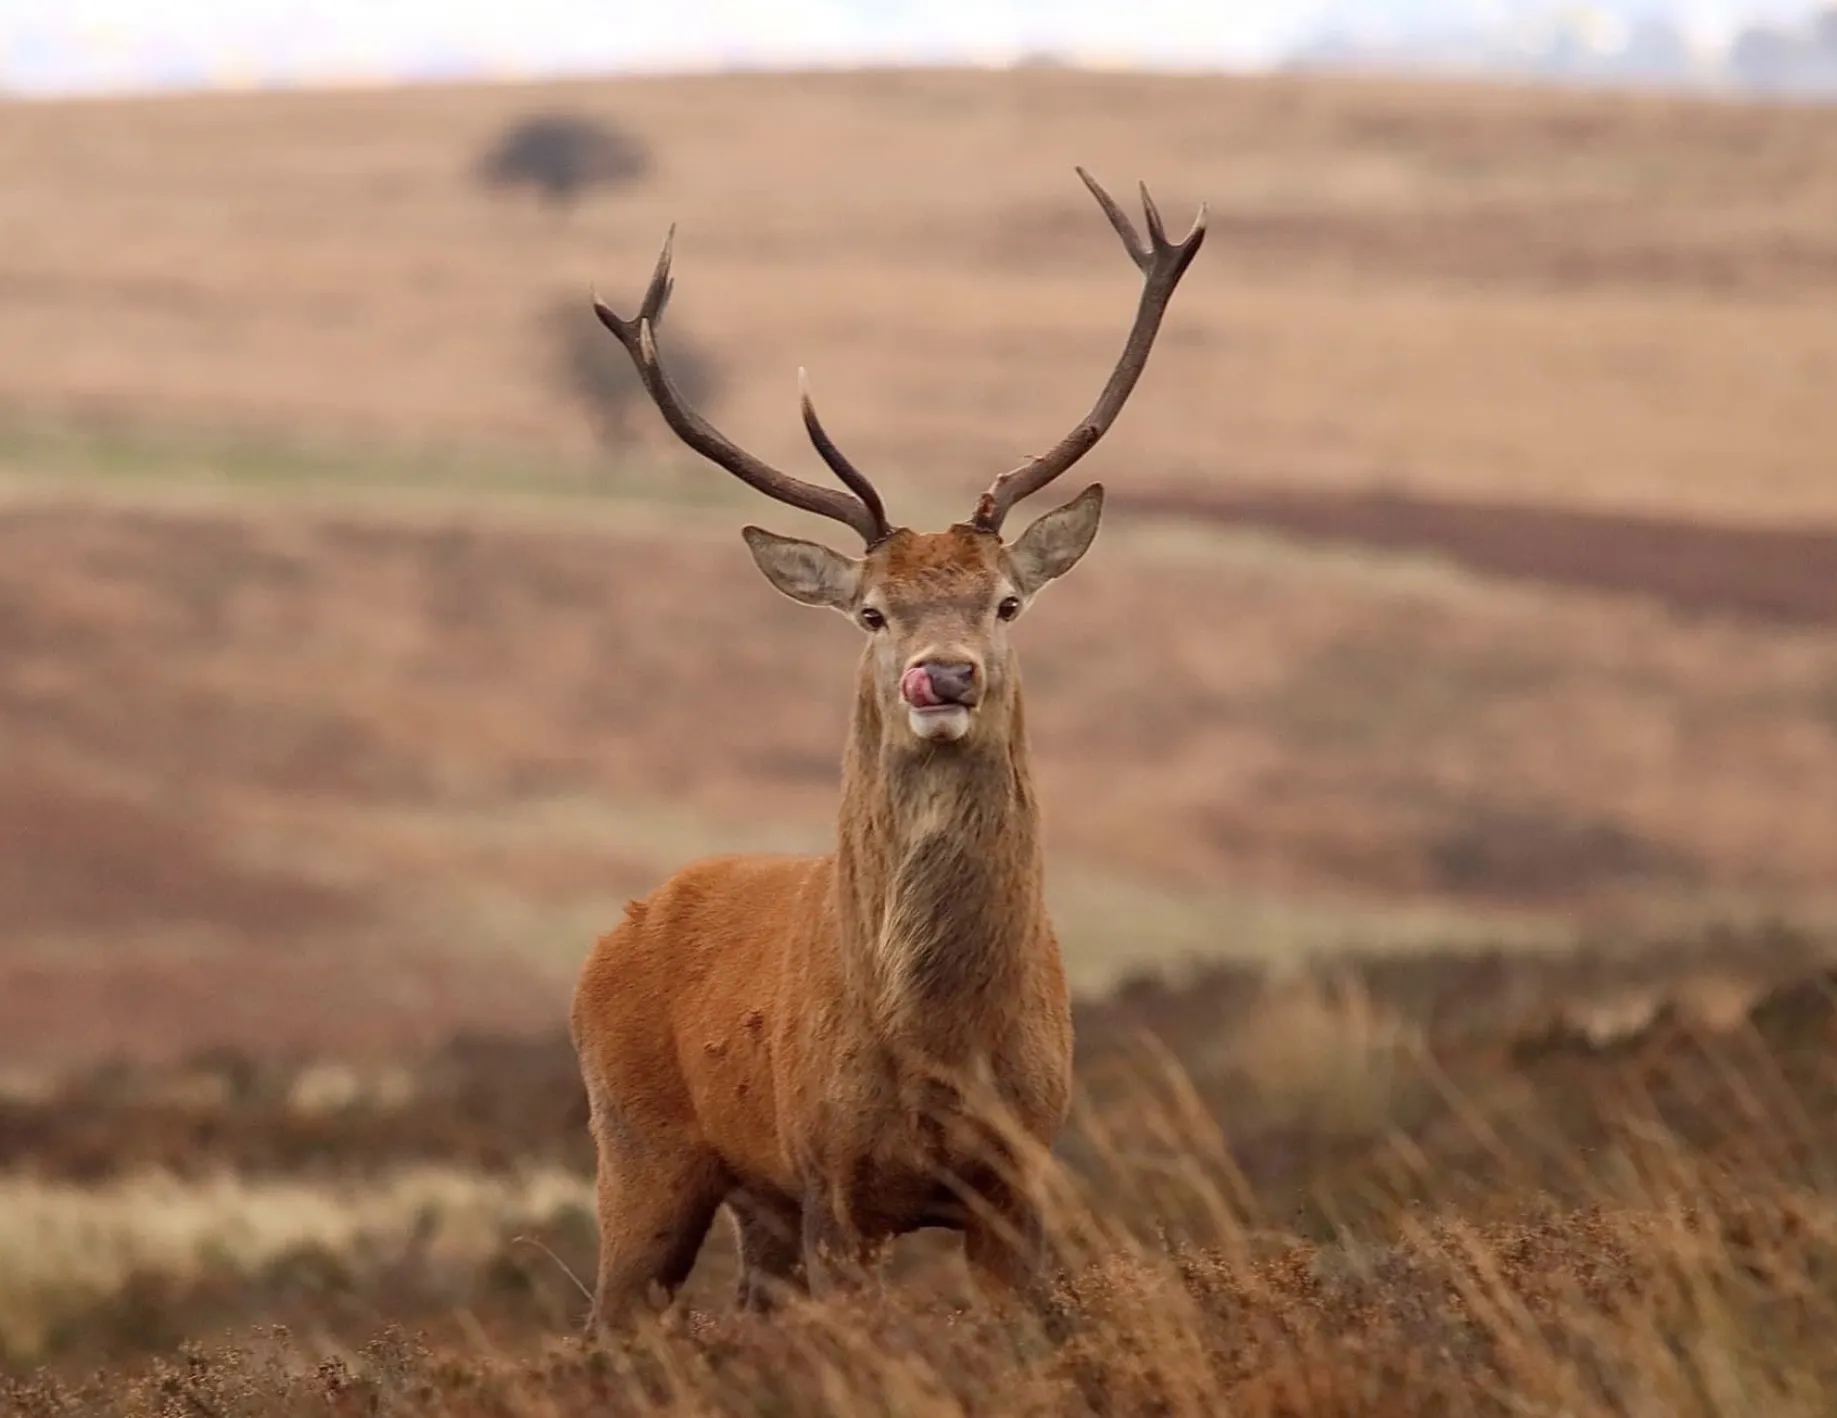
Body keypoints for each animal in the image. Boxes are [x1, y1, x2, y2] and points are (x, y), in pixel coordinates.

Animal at [569, 167, 1207, 1335]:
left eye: (1006, 602)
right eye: (871, 612)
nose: (942, 676)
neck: (939, 1050)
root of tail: (617, 930)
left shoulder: (1020, 1175)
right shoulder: (833, 1176)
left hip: (755, 1202)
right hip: (639, 1151)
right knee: (603, 1318)